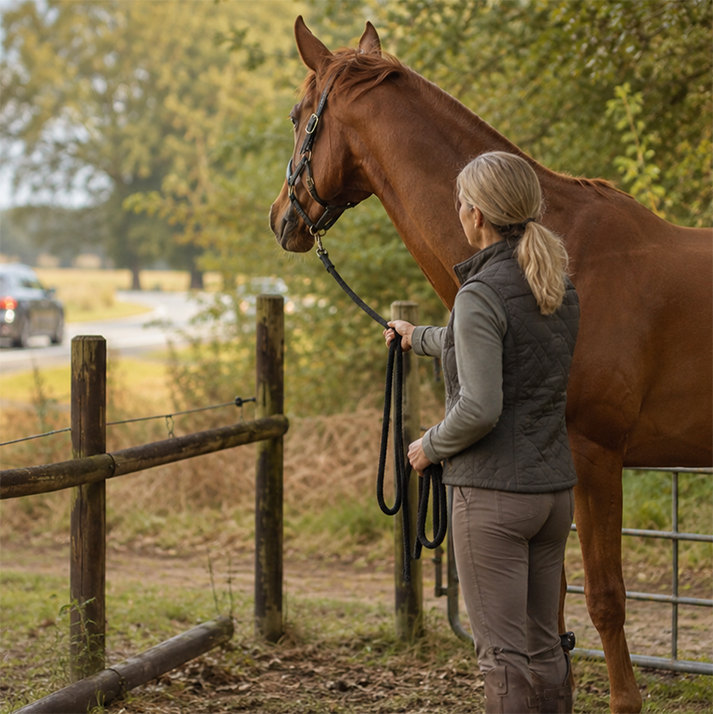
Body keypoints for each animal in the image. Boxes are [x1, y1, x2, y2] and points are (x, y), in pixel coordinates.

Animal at [269, 17, 713, 714]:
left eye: (296, 115)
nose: (281, 219)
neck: (560, 250)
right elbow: (550, 614)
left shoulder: (594, 456)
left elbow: (606, 602)